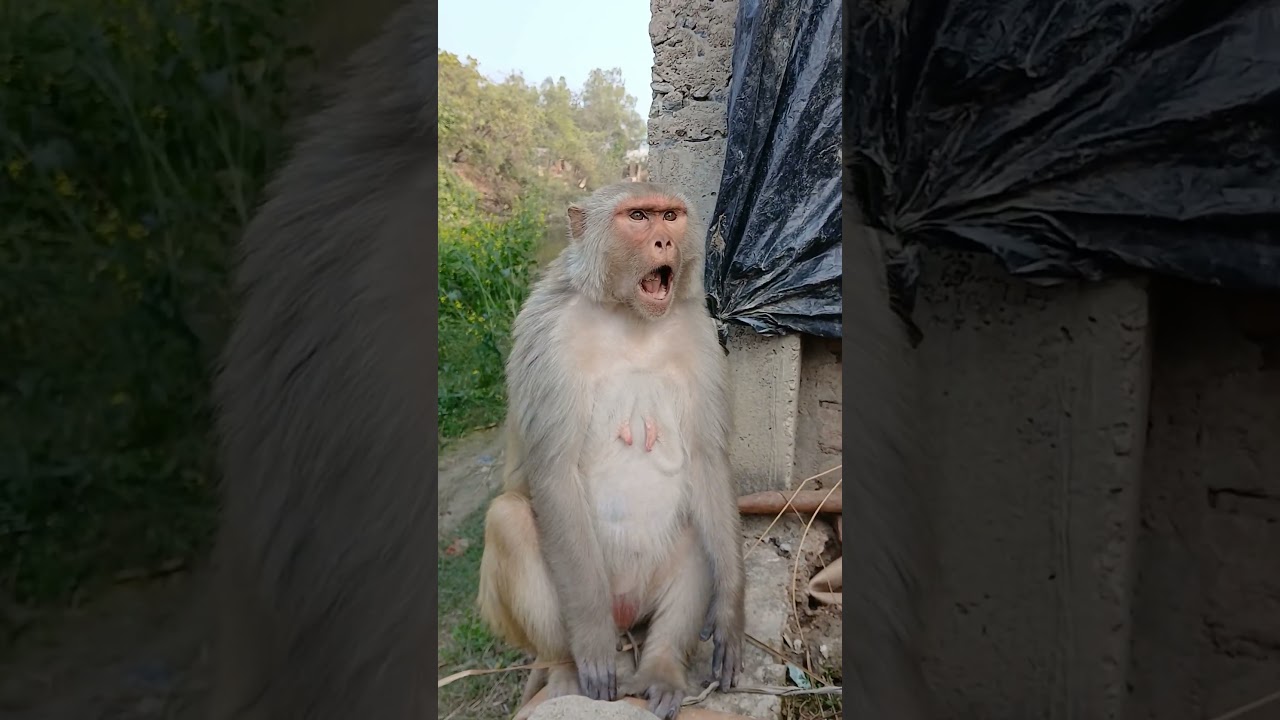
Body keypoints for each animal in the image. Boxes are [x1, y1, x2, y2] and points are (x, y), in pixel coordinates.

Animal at [476, 182, 745, 720]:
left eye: (670, 216)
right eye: (638, 217)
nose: (665, 241)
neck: (629, 316)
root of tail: (625, 615)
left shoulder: (700, 333)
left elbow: (708, 462)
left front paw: (729, 612)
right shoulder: (549, 336)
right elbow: (554, 475)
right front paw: (593, 644)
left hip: (646, 597)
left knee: (699, 529)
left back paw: (662, 668)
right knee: (509, 519)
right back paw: (566, 668)